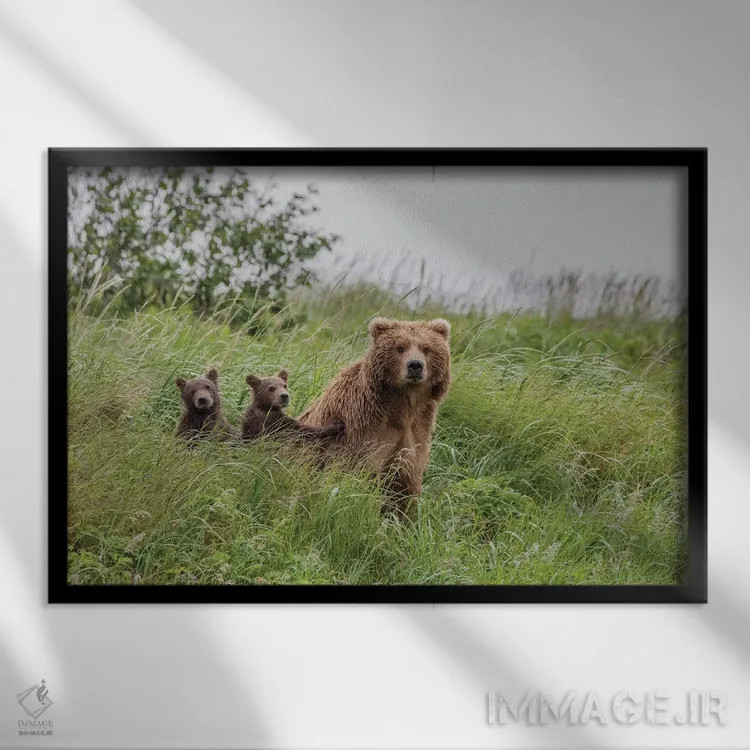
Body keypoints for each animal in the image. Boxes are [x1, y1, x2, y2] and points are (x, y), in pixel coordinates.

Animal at [298, 317, 451, 511]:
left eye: (426, 348)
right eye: (400, 347)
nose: (415, 365)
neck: (403, 405)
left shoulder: (417, 430)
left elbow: (405, 488)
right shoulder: (363, 428)